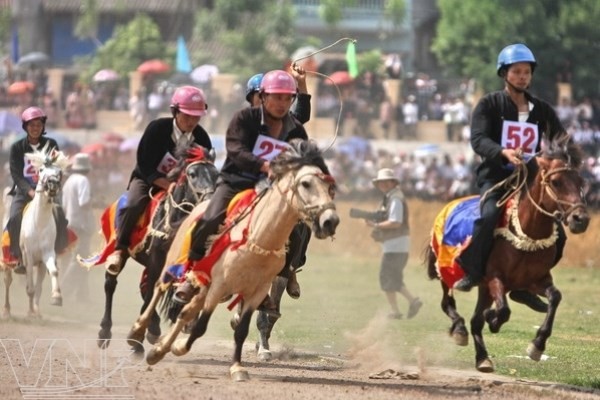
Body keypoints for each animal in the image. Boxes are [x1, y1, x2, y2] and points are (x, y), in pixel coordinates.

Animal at [20, 145, 70, 316]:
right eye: (41, 169)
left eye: (59, 172)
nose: (52, 184)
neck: (39, 224)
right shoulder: (28, 255)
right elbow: (29, 285)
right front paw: (29, 312)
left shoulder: (47, 253)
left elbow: (54, 272)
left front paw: (57, 297)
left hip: (41, 264)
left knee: (39, 286)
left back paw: (36, 310)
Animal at [79, 144, 218, 350]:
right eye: (192, 174)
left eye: (217, 175)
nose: (210, 201)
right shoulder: (156, 260)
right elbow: (151, 292)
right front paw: (137, 338)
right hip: (122, 251)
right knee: (111, 283)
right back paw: (105, 331)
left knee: (145, 287)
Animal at [127, 140, 338, 382]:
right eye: (305, 183)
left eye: (330, 187)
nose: (330, 221)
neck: (259, 238)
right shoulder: (219, 285)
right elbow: (201, 325)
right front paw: (178, 346)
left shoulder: (261, 287)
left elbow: (248, 325)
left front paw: (241, 364)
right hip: (172, 266)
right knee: (158, 290)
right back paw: (138, 332)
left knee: (185, 310)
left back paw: (159, 349)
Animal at [426, 139, 592, 374]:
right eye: (556, 182)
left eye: (580, 181)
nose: (580, 219)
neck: (528, 233)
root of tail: (449, 204)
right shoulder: (495, 278)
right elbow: (503, 310)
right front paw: (493, 319)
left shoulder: (537, 280)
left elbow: (555, 297)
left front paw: (537, 345)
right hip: (448, 273)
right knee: (448, 304)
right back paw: (460, 329)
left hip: (484, 288)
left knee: (476, 320)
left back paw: (483, 358)